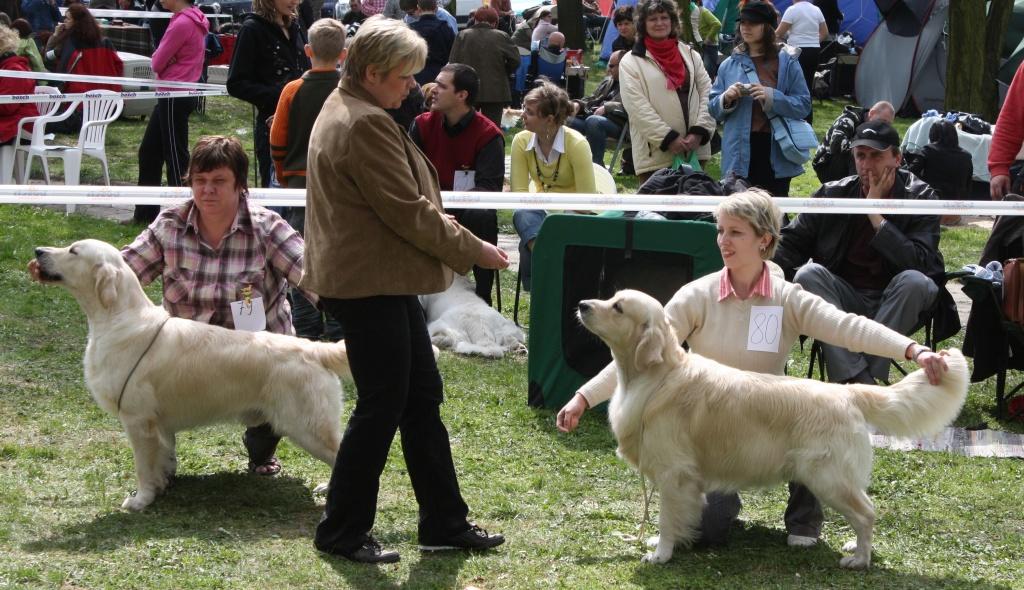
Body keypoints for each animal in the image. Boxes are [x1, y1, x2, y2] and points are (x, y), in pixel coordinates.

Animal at [29, 239, 348, 512]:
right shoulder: (157, 424)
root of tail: (314, 348)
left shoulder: (138, 420)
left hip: (308, 427)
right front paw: (161, 486)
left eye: (73, 251)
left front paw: (140, 500)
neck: (117, 319)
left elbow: (143, 466)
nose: (38, 251)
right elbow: (162, 459)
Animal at [577, 288, 966, 569]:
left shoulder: (675, 474)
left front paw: (661, 554)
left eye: (618, 308)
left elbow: (665, 518)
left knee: (867, 513)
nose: (581, 304)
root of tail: (846, 391)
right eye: (611, 298)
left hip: (828, 477)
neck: (653, 377)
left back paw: (859, 559)